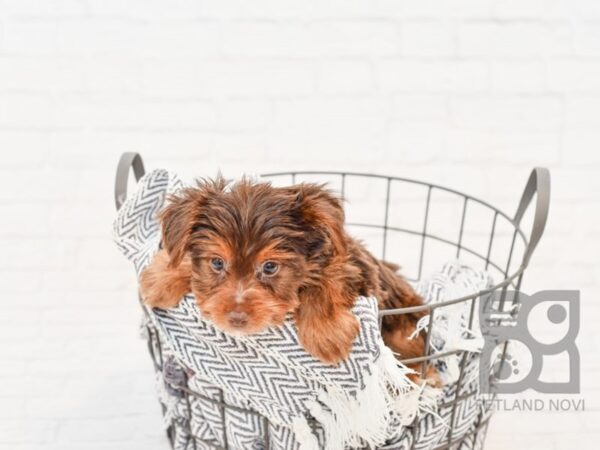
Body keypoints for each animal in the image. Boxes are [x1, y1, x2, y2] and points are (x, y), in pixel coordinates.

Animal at [141, 178, 436, 382]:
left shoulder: (351, 265)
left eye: (270, 267)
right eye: (217, 263)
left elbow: (326, 278)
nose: (236, 317)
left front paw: (326, 334)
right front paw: (162, 276)